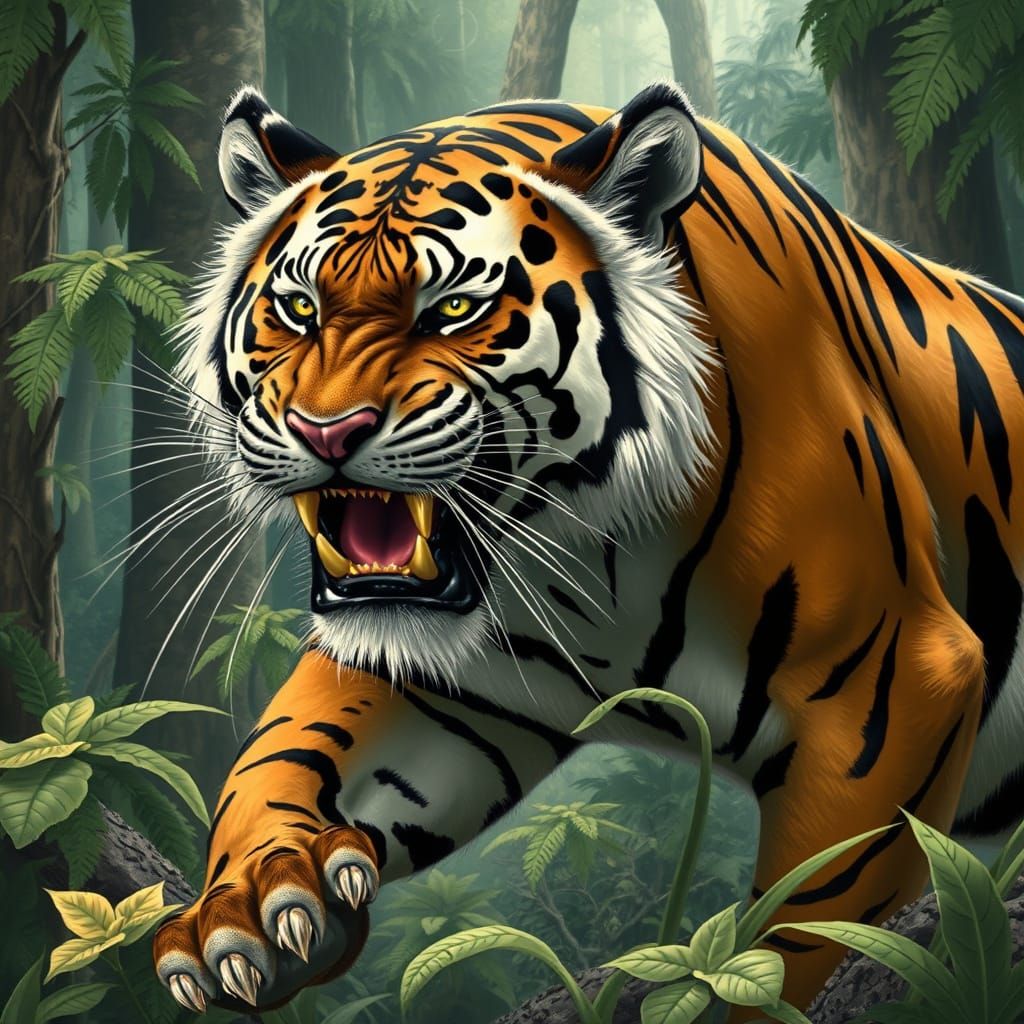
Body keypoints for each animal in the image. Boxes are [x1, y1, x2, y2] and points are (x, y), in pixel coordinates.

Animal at [152, 80, 1024, 1018]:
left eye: (452, 309)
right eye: (299, 309)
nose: (327, 430)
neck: (584, 556)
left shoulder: (892, 690)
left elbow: (800, 928)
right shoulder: (440, 684)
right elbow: (278, 755)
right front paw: (255, 909)